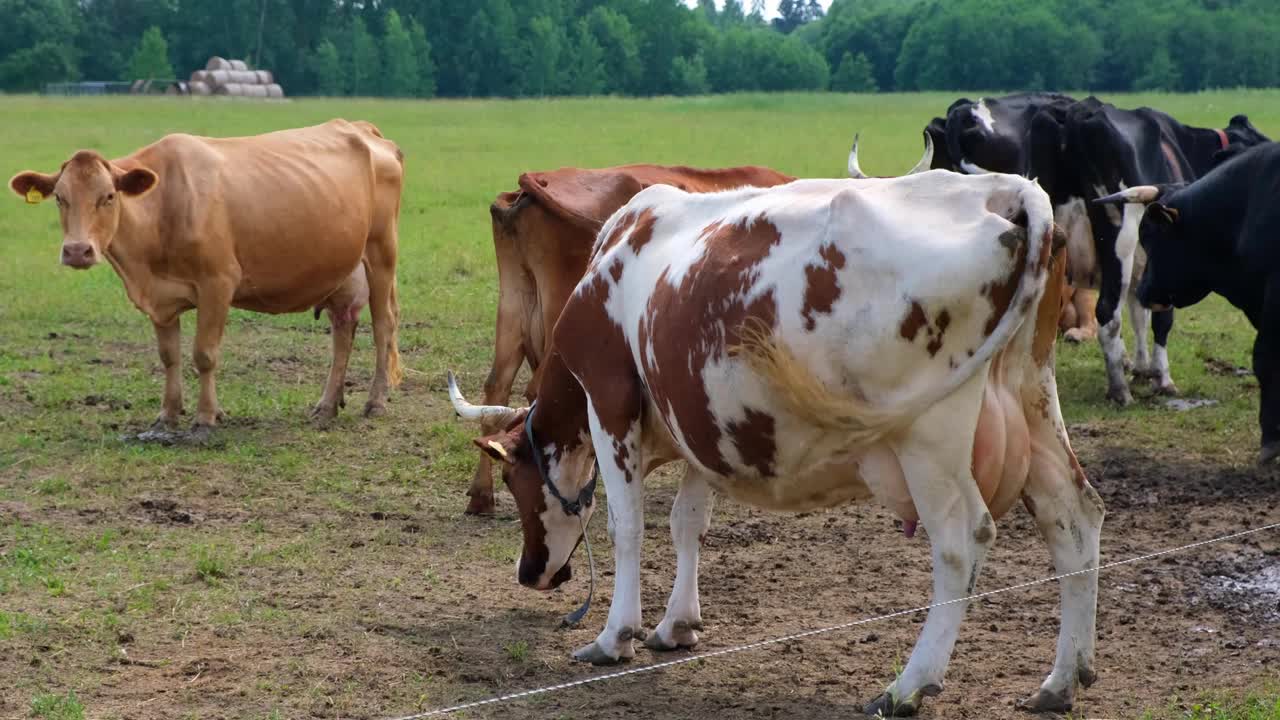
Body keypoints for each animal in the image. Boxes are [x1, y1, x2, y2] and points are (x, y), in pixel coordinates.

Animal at [8, 117, 399, 438]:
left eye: (108, 196)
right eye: (59, 198)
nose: (77, 251)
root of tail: (360, 128)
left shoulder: (218, 283)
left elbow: (204, 354)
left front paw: (206, 418)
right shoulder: (161, 299)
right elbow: (169, 356)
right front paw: (167, 416)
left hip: (381, 252)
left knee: (383, 325)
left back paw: (376, 401)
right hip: (344, 270)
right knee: (343, 329)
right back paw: (327, 406)